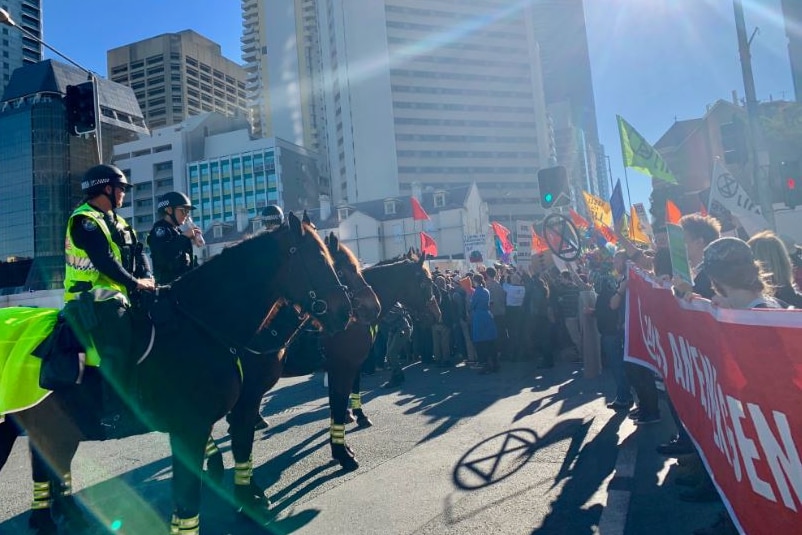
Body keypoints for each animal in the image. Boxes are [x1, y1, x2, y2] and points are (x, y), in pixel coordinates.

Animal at [0, 216, 352, 535]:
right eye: (319, 259)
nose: (346, 313)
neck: (203, 325)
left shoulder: (225, 412)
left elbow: (241, 447)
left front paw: (248, 498)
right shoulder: (192, 426)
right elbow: (189, 494)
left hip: (55, 431)